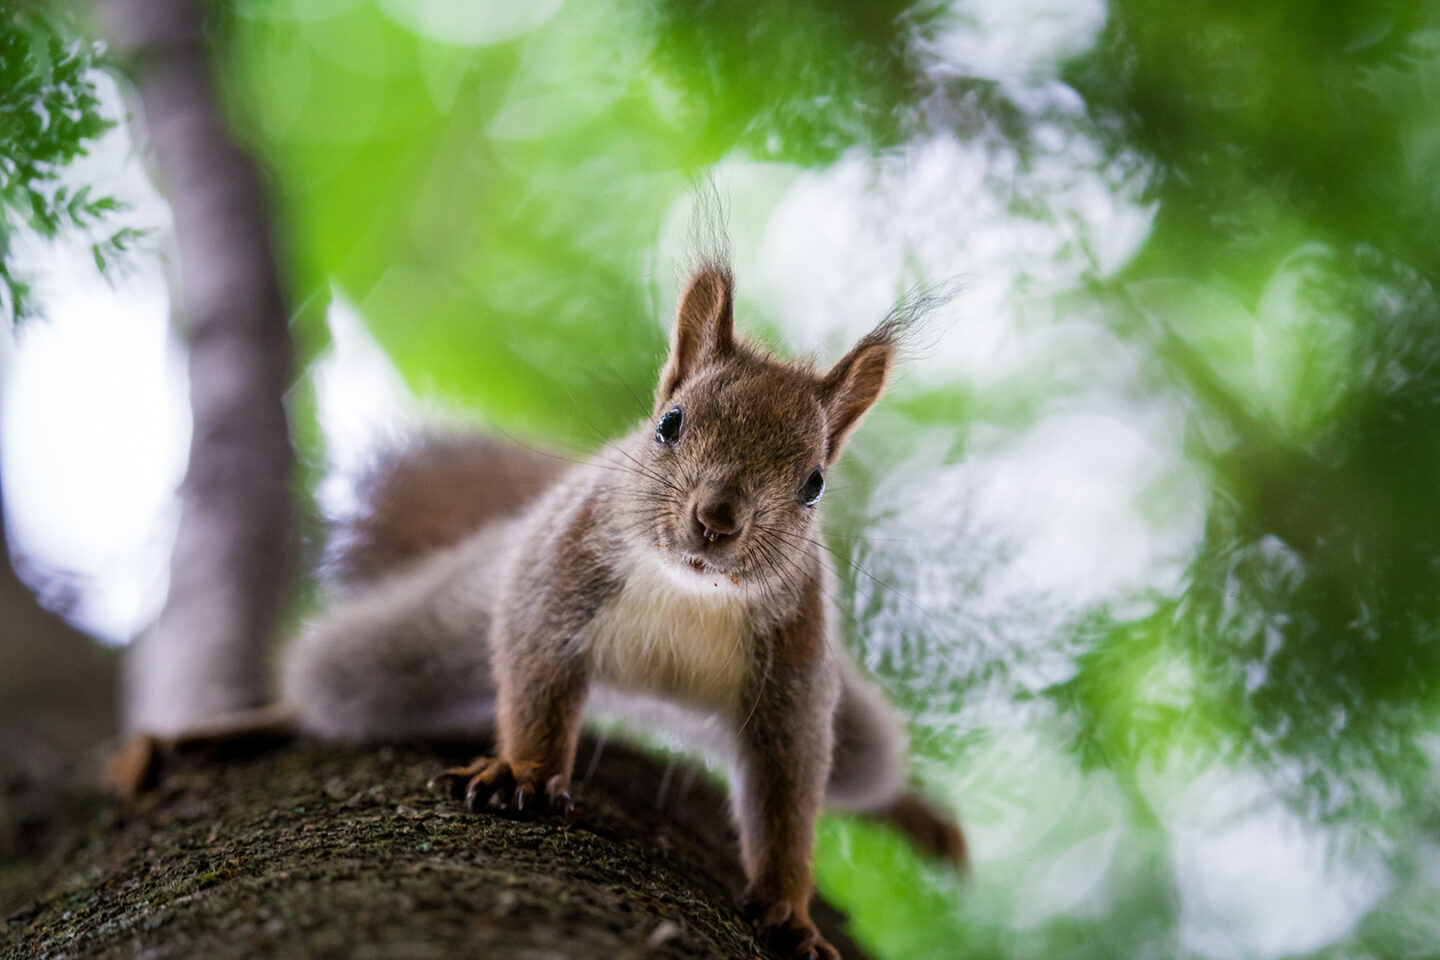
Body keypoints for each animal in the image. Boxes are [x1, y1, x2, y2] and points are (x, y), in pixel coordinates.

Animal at [115, 259, 967, 960]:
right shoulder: (552, 577)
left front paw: (791, 909)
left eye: (814, 483)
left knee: (862, 764)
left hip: (849, 725)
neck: (687, 592)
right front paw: (522, 772)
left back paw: (919, 817)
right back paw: (230, 731)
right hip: (426, 630)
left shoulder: (794, 665)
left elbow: (789, 785)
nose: (717, 520)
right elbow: (534, 673)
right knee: (336, 683)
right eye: (670, 425)